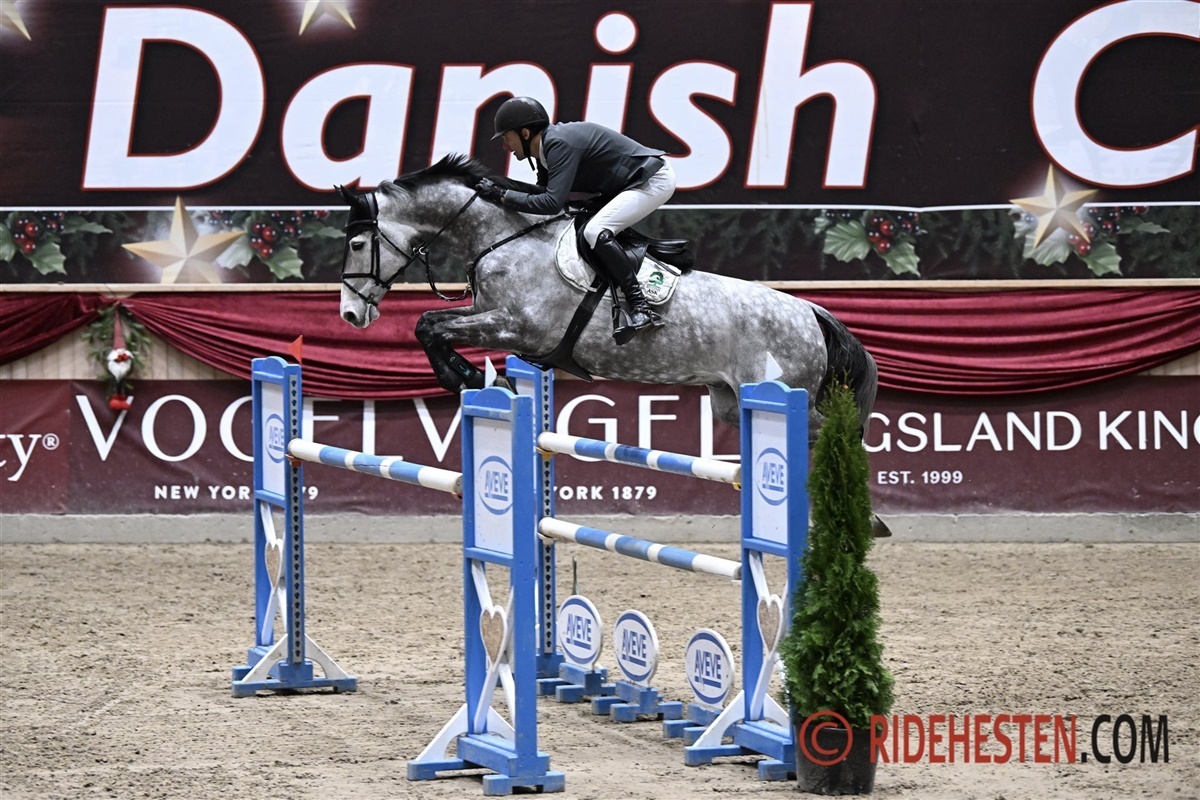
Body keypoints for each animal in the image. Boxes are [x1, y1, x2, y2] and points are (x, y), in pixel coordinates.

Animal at [337, 154, 880, 447]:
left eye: (358, 243)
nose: (350, 313)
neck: (501, 238)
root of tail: (812, 312)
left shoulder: (517, 326)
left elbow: (429, 325)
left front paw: (469, 378)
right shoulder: (487, 314)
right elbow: (430, 323)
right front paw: (478, 380)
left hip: (785, 392)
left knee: (837, 431)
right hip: (731, 403)